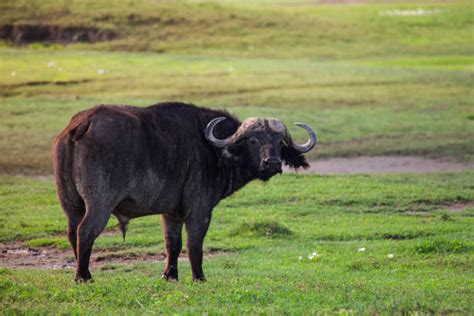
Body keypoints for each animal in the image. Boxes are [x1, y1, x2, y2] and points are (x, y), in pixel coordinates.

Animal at [51, 102, 314, 282]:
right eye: (253, 141)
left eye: (279, 142)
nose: (273, 163)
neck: (213, 151)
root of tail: (83, 124)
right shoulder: (199, 210)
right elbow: (194, 243)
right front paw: (199, 277)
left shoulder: (171, 213)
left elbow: (173, 244)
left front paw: (170, 275)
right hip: (100, 204)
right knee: (86, 232)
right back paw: (84, 276)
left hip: (70, 205)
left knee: (72, 233)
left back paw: (82, 271)